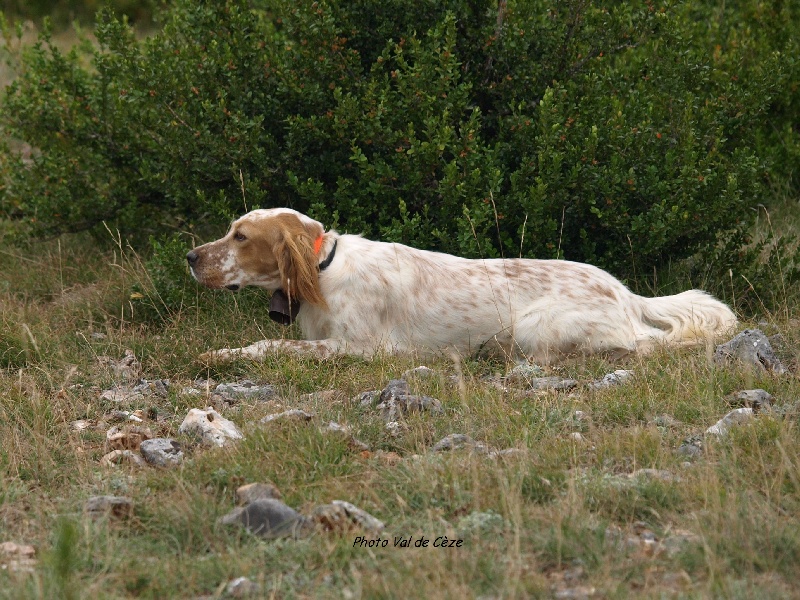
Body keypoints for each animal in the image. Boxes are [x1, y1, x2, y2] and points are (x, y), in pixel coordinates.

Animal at [188, 209, 736, 364]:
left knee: (650, 344)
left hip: (537, 327)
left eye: (240, 236)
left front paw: (222, 355)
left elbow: (270, 346)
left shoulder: (364, 348)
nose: (190, 257)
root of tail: (624, 291)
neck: (324, 268)